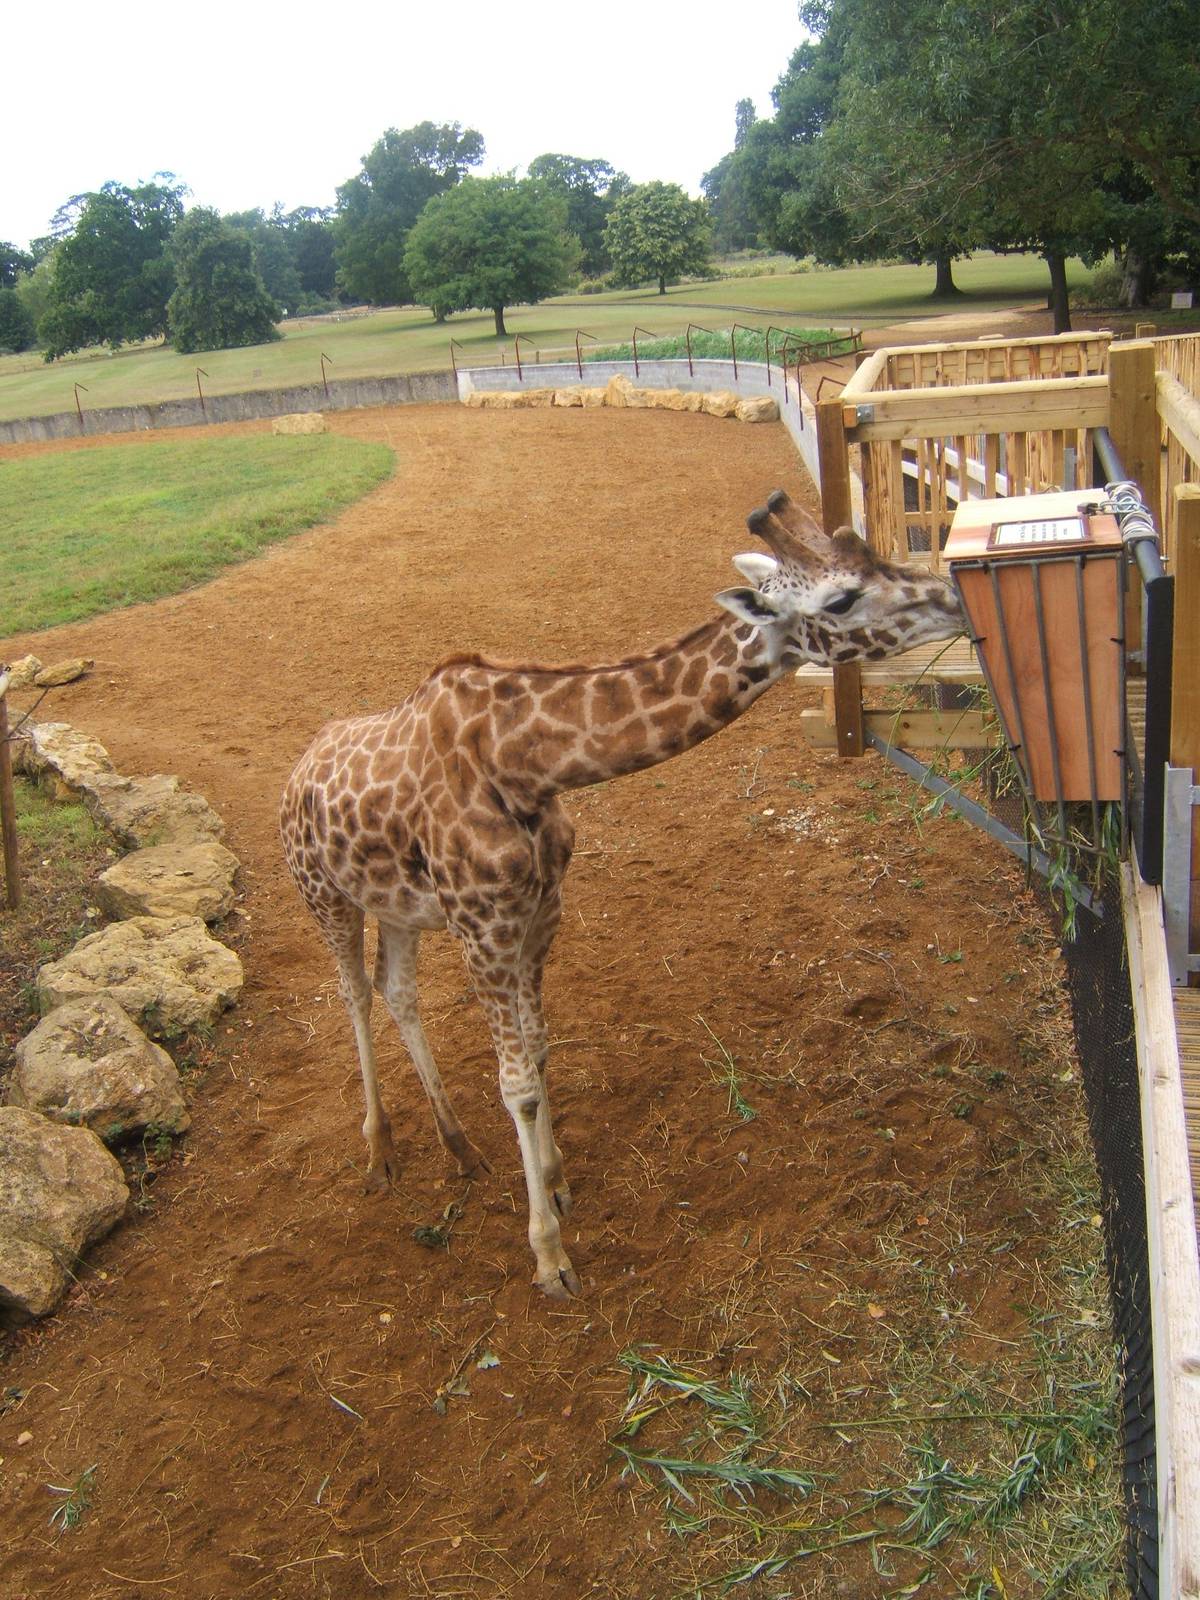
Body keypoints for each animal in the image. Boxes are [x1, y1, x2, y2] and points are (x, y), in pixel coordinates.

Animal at [279, 490, 963, 1298]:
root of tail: (296, 773)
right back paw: (380, 1154)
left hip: (398, 909)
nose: (954, 597)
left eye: (871, 551)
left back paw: (459, 1148)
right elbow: (517, 1081)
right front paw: (549, 1257)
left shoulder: (540, 913)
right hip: (323, 895)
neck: (525, 765)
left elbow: (540, 1053)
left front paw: (556, 1183)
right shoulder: (484, 931)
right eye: (842, 596)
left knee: (397, 990)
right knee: (354, 994)